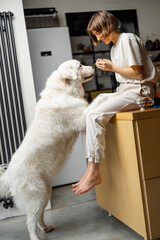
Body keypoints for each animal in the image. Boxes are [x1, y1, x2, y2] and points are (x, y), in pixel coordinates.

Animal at [0, 59, 94, 240]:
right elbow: (100, 100)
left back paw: (46, 227)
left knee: (39, 217)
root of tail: (9, 174)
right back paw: (36, 237)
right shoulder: (82, 116)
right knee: (30, 223)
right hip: (37, 197)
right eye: (80, 66)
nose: (93, 66)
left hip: (44, 194)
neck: (64, 91)